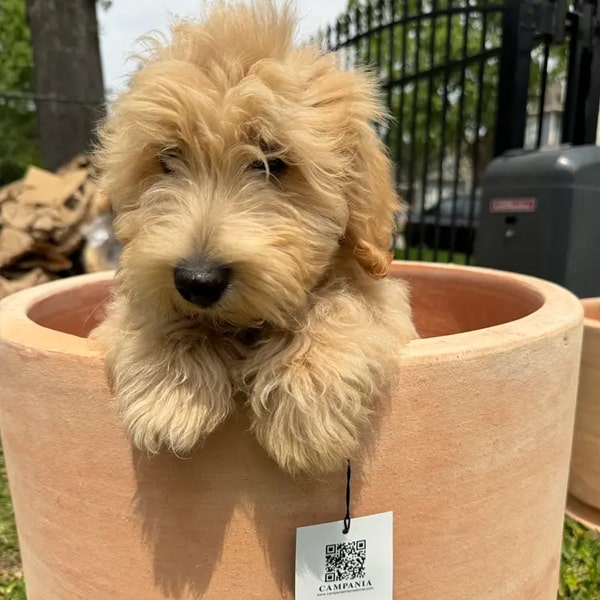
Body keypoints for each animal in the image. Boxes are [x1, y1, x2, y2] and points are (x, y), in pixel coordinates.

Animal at [96, 1, 418, 478]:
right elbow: (149, 310)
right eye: (168, 158)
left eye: (273, 161)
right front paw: (171, 391)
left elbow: (346, 301)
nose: (198, 280)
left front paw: (306, 403)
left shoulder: (383, 297)